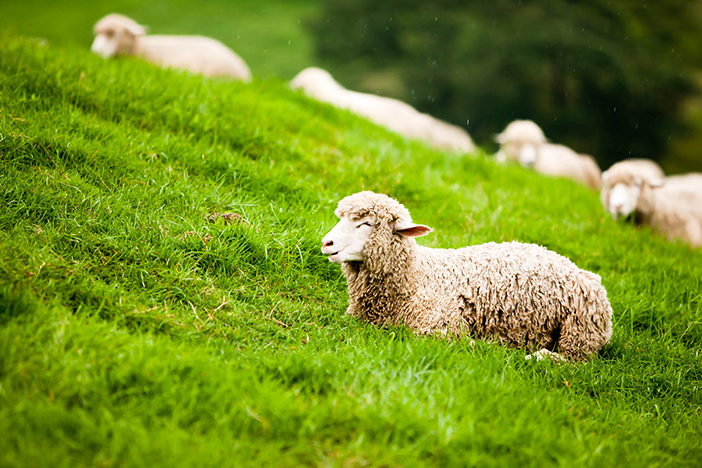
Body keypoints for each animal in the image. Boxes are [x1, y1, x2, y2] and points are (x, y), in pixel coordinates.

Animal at [324, 190, 616, 362]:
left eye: (367, 223)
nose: (326, 243)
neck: (416, 277)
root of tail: (583, 272)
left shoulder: (442, 326)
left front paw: (483, 346)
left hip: (579, 332)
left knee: (574, 361)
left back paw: (537, 356)